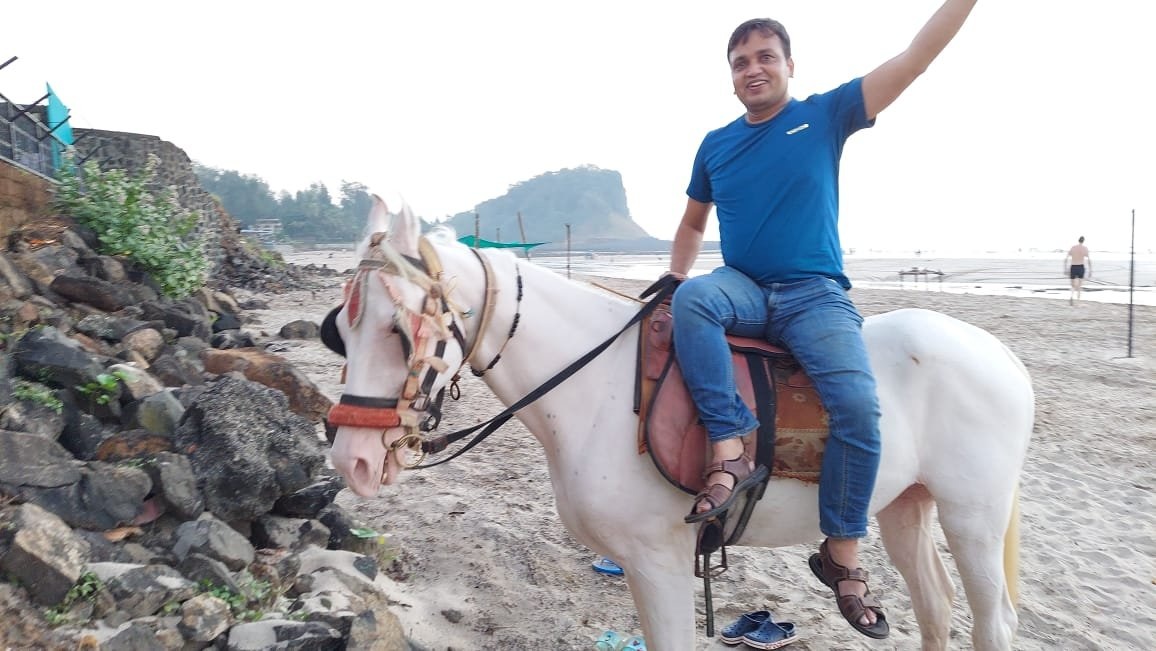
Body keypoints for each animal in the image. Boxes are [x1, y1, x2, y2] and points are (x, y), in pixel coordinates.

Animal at [326, 197, 1033, 651]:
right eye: (341, 329)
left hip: (972, 514)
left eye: (397, 330)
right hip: (904, 503)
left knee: (992, 624)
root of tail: (1000, 354)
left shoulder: (658, 564)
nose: (350, 459)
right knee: (936, 610)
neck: (596, 387)